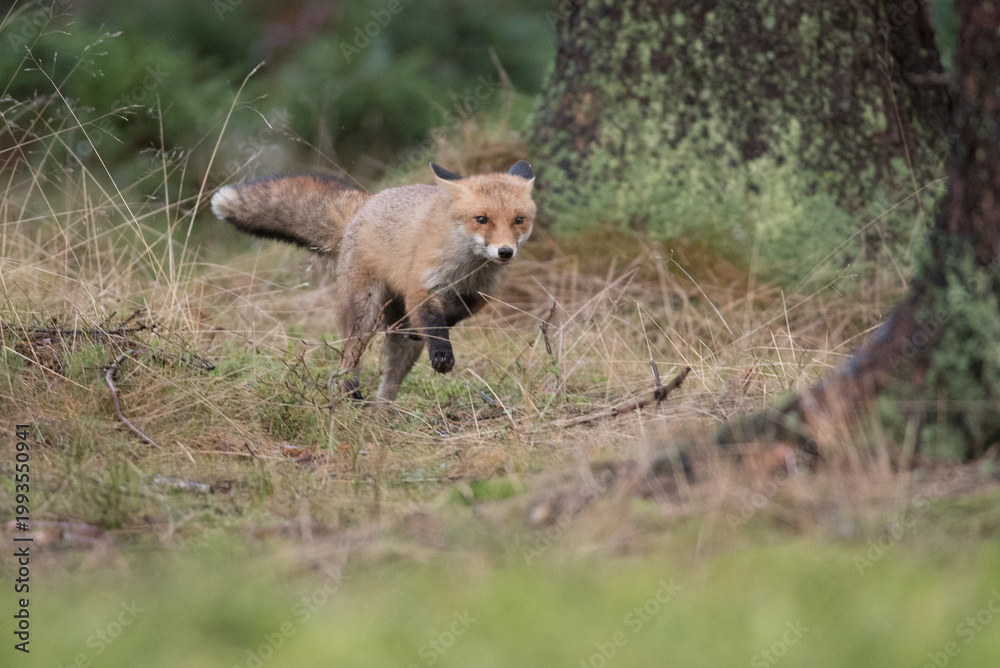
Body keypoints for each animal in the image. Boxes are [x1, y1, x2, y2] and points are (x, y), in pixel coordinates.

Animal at [210, 161, 536, 403]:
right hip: (362, 315)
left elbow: (453, 313)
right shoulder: (420, 286)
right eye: (482, 219)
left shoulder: (480, 294)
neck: (467, 267)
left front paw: (429, 329)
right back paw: (350, 394)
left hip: (399, 346)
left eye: (519, 220)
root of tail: (367, 203)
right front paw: (442, 351)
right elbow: (433, 322)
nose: (505, 252)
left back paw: (381, 418)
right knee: (347, 361)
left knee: (388, 386)